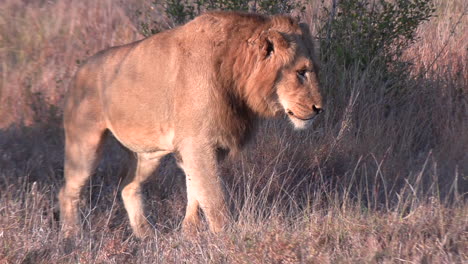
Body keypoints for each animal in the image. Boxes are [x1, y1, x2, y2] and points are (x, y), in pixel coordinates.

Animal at [57, 11, 322, 237]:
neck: (235, 76)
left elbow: (195, 191)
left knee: (128, 187)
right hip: (85, 143)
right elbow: (213, 197)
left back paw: (145, 235)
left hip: (149, 154)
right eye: (301, 72)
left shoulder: (208, 145)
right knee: (68, 191)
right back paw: (72, 237)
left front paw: (189, 232)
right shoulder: (198, 142)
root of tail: (79, 69)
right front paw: (227, 238)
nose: (319, 108)